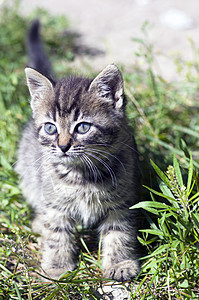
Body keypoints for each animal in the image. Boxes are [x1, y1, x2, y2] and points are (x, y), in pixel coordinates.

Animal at [15, 19, 140, 280]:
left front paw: (120, 264)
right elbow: (56, 233)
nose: (63, 146)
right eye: (50, 128)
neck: (82, 176)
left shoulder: (121, 202)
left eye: (82, 127)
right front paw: (57, 267)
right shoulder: (55, 204)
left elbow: (119, 232)